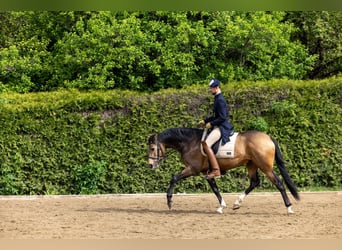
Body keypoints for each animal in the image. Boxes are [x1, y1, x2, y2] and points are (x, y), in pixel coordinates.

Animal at [147, 128, 300, 214]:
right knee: (254, 182)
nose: (150, 165)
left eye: (153, 148)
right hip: (251, 165)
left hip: (265, 167)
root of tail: (268, 137)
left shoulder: (193, 169)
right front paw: (221, 206)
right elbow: (215, 189)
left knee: (279, 183)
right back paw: (237, 203)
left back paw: (289, 208)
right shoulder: (207, 172)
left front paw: (169, 201)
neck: (189, 142)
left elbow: (174, 178)